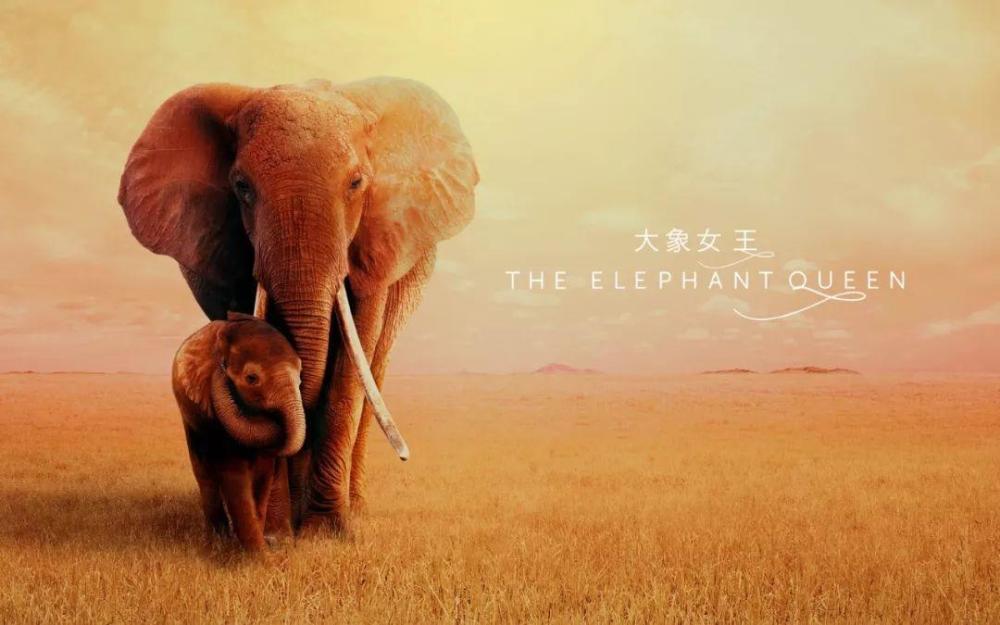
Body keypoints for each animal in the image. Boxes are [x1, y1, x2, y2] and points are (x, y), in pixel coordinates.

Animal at [172, 311, 306, 551]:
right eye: (251, 378)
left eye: (300, 377)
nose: (221, 369)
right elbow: (234, 472)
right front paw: (255, 555)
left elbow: (263, 474)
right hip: (190, 420)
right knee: (204, 474)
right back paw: (218, 539)